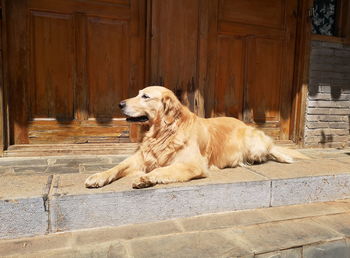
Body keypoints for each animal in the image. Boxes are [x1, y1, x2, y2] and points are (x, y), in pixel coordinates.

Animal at [85, 85, 300, 188]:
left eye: (145, 96)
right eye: (138, 94)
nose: (120, 104)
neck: (165, 131)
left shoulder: (193, 165)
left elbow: (162, 170)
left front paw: (146, 179)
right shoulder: (140, 158)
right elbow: (116, 167)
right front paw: (97, 177)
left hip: (253, 142)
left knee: (269, 150)